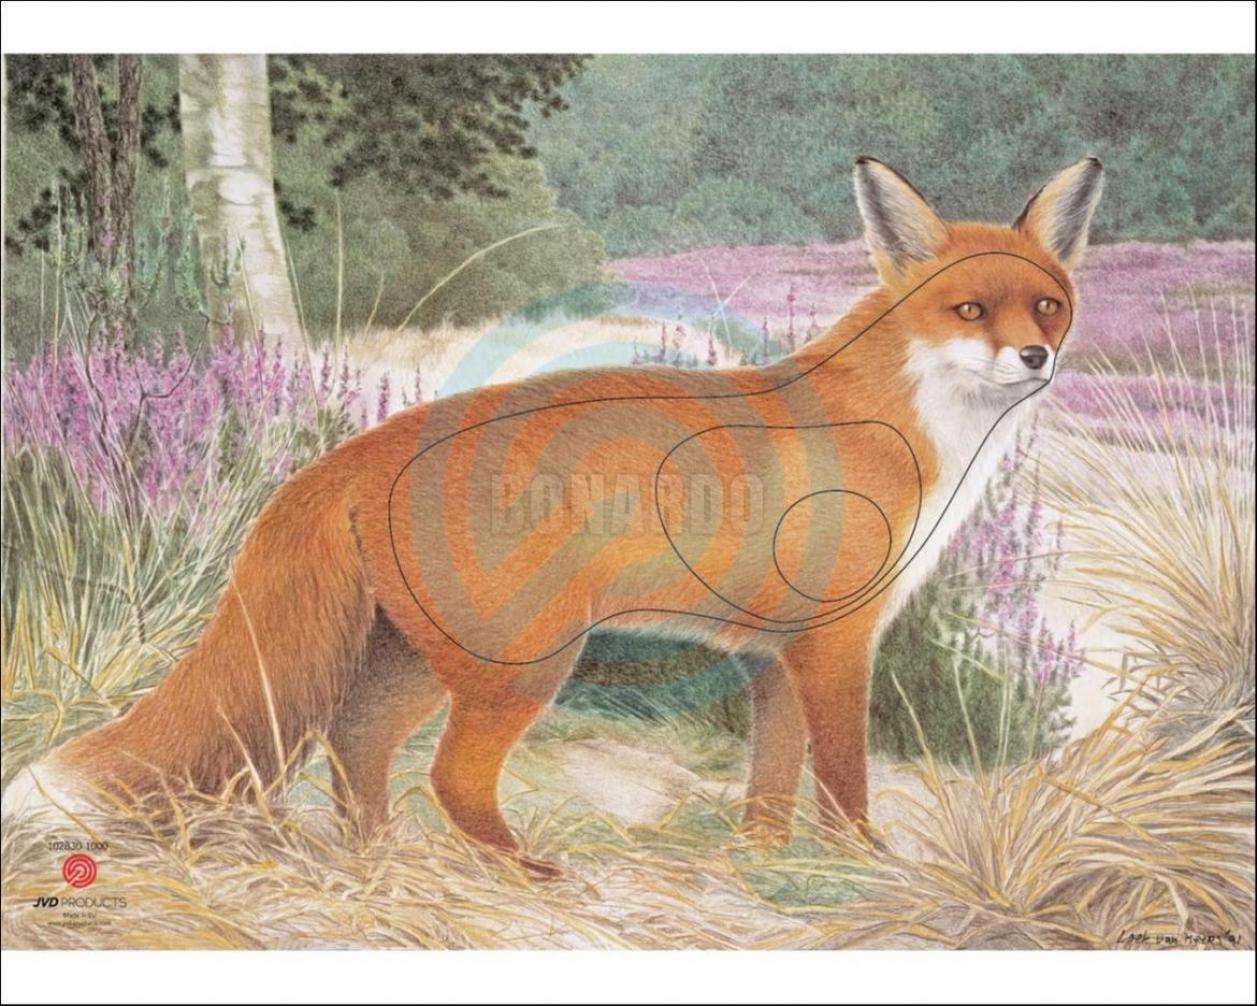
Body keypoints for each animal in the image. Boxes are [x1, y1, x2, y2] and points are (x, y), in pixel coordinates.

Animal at [3, 156, 1102, 875]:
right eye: (969, 311)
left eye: (1045, 306)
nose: (1036, 359)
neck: (903, 425)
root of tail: (354, 451)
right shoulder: (835, 641)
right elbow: (842, 775)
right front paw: (861, 863)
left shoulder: (773, 651)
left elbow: (771, 782)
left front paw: (767, 861)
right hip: (525, 662)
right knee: (449, 776)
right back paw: (517, 867)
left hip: (418, 665)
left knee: (354, 749)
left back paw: (379, 859)